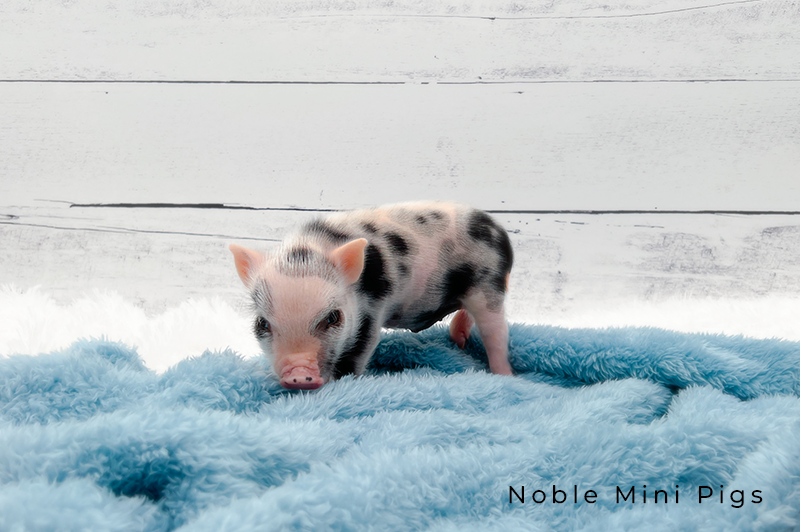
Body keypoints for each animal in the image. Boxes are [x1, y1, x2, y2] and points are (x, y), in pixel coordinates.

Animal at [229, 201, 513, 390]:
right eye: (262, 323)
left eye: (333, 318)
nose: (298, 374)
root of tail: (500, 232)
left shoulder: (370, 313)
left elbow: (359, 351)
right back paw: (458, 341)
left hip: (488, 285)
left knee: (496, 333)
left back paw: (506, 377)